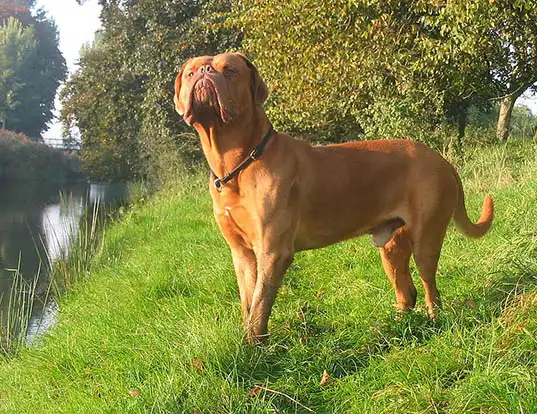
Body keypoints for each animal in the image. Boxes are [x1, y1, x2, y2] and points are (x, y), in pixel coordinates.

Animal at [173, 52, 494, 342]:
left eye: (229, 70)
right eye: (190, 73)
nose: (203, 72)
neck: (239, 166)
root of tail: (442, 160)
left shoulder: (273, 251)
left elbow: (259, 306)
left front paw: (254, 349)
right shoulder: (242, 254)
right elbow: (248, 302)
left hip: (426, 237)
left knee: (430, 286)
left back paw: (434, 319)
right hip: (391, 245)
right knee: (406, 290)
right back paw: (393, 327)